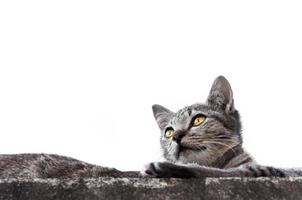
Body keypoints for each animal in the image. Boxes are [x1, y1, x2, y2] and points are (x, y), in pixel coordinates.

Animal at [142, 76, 302, 177]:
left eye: (198, 120)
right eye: (169, 132)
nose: (175, 136)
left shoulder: (256, 169)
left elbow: (212, 171)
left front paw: (170, 167)